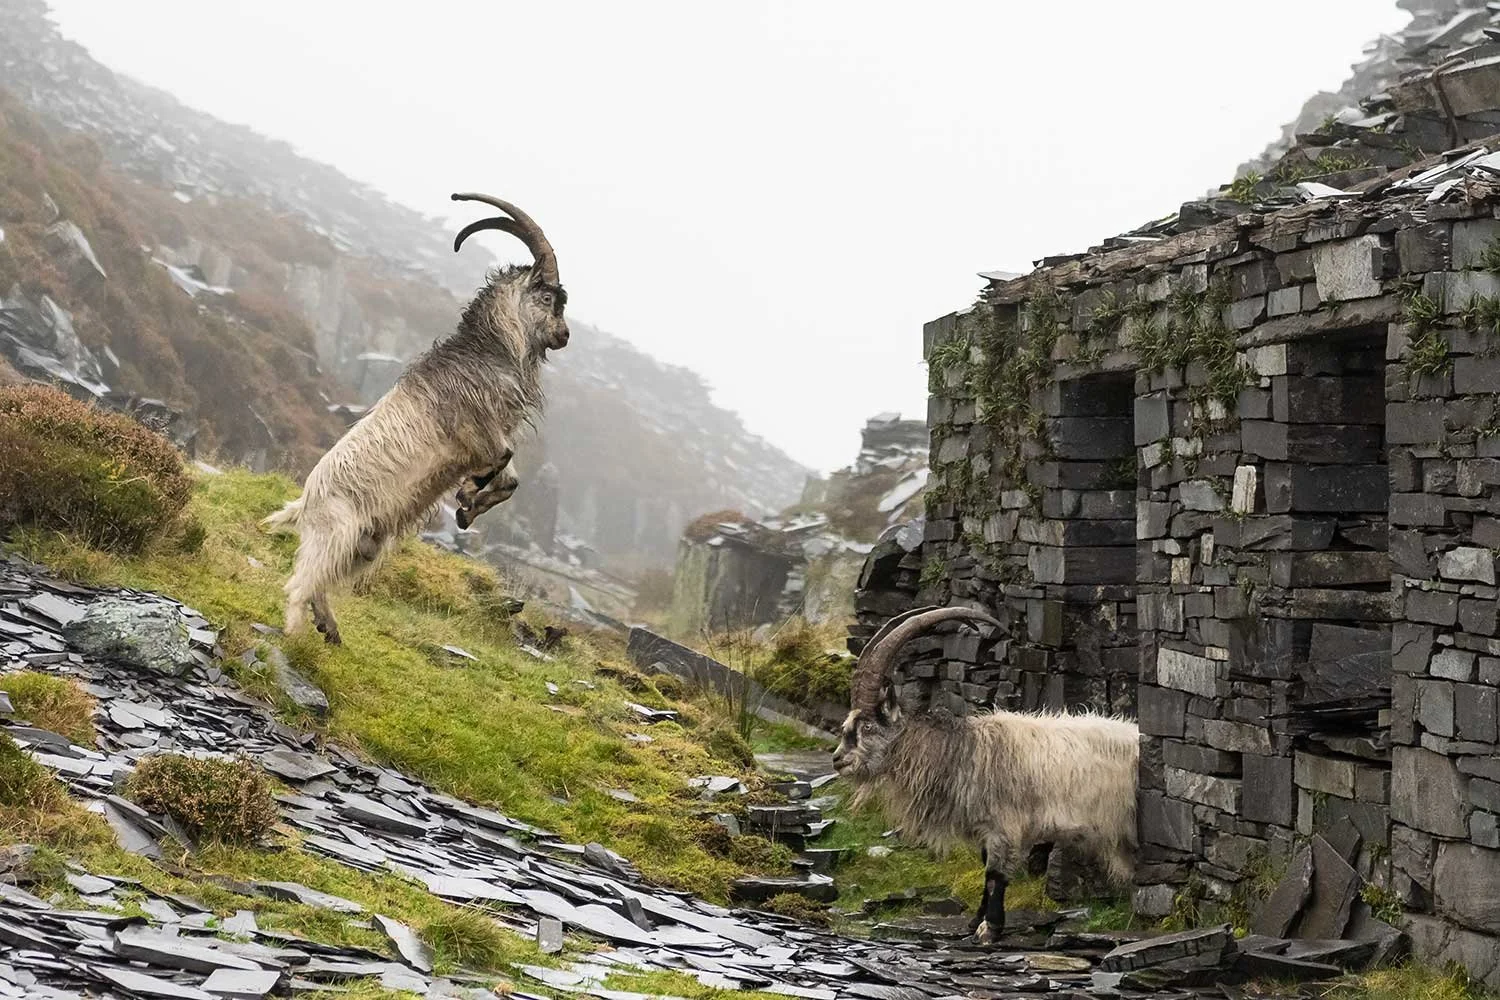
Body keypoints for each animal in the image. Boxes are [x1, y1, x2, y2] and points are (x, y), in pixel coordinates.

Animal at [262, 193, 568, 644]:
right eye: (548, 298)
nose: (564, 336)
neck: (485, 353)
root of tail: (305, 504)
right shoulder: (475, 427)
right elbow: (500, 459)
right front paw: (467, 495)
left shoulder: (494, 432)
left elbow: (510, 479)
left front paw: (467, 510)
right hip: (337, 532)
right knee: (298, 584)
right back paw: (296, 636)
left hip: (366, 546)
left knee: (320, 582)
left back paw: (329, 627)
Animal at [831, 606, 1139, 945]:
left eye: (867, 726)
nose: (838, 760)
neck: (963, 752)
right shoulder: (985, 827)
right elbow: (984, 867)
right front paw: (973, 922)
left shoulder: (1004, 826)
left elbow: (995, 875)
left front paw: (990, 929)